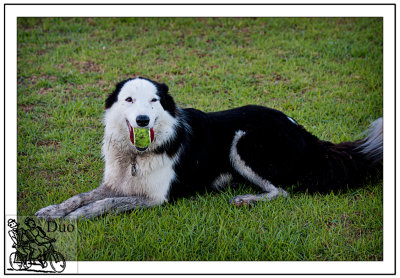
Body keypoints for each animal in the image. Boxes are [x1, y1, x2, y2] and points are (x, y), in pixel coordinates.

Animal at [36, 76, 382, 219]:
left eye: (154, 101)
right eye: (129, 100)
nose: (143, 120)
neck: (136, 156)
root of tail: (305, 133)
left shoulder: (156, 198)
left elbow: (104, 204)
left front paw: (73, 218)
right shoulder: (115, 183)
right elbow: (83, 196)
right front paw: (52, 211)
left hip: (243, 141)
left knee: (282, 191)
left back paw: (246, 200)